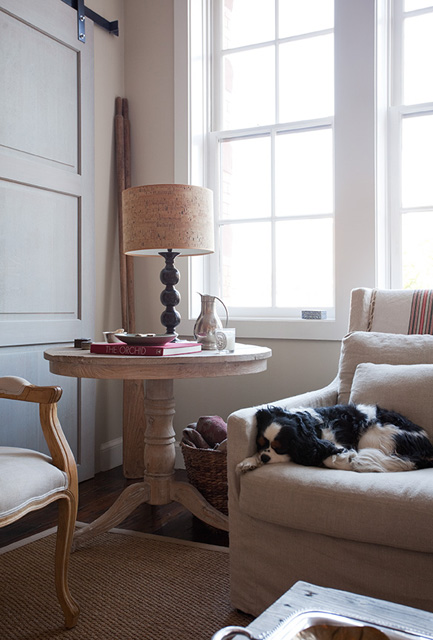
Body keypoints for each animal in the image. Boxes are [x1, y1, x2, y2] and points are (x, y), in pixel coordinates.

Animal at [237, 404, 433, 473]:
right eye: (260, 444)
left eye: (280, 448)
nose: (265, 457)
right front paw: (250, 460)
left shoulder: (337, 444)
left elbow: (332, 457)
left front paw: (348, 461)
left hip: (372, 435)